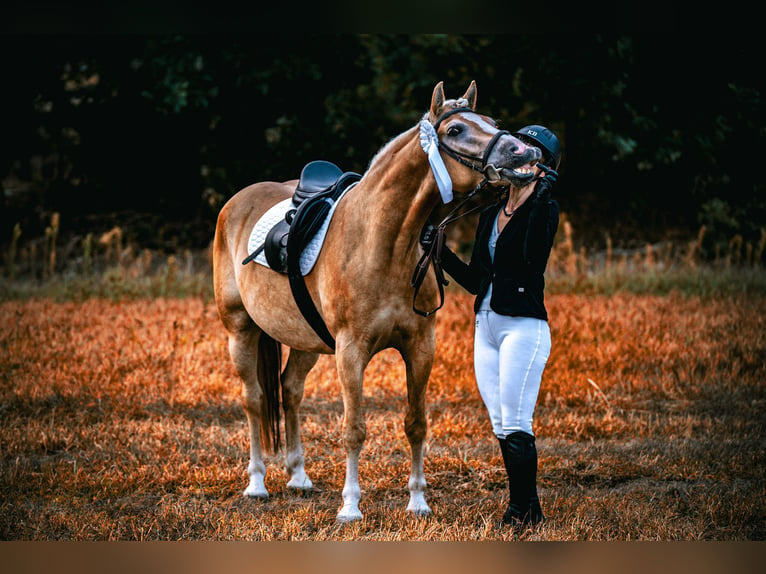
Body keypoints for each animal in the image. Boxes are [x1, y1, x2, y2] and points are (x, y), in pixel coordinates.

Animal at [213, 81, 544, 528]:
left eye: (491, 121)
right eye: (455, 130)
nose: (523, 152)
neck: (383, 242)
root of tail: (238, 201)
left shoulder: (421, 347)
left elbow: (416, 423)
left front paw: (418, 501)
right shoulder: (350, 352)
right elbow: (354, 429)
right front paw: (350, 506)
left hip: (304, 340)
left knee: (290, 390)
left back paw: (298, 476)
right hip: (241, 331)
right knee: (255, 400)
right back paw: (257, 483)